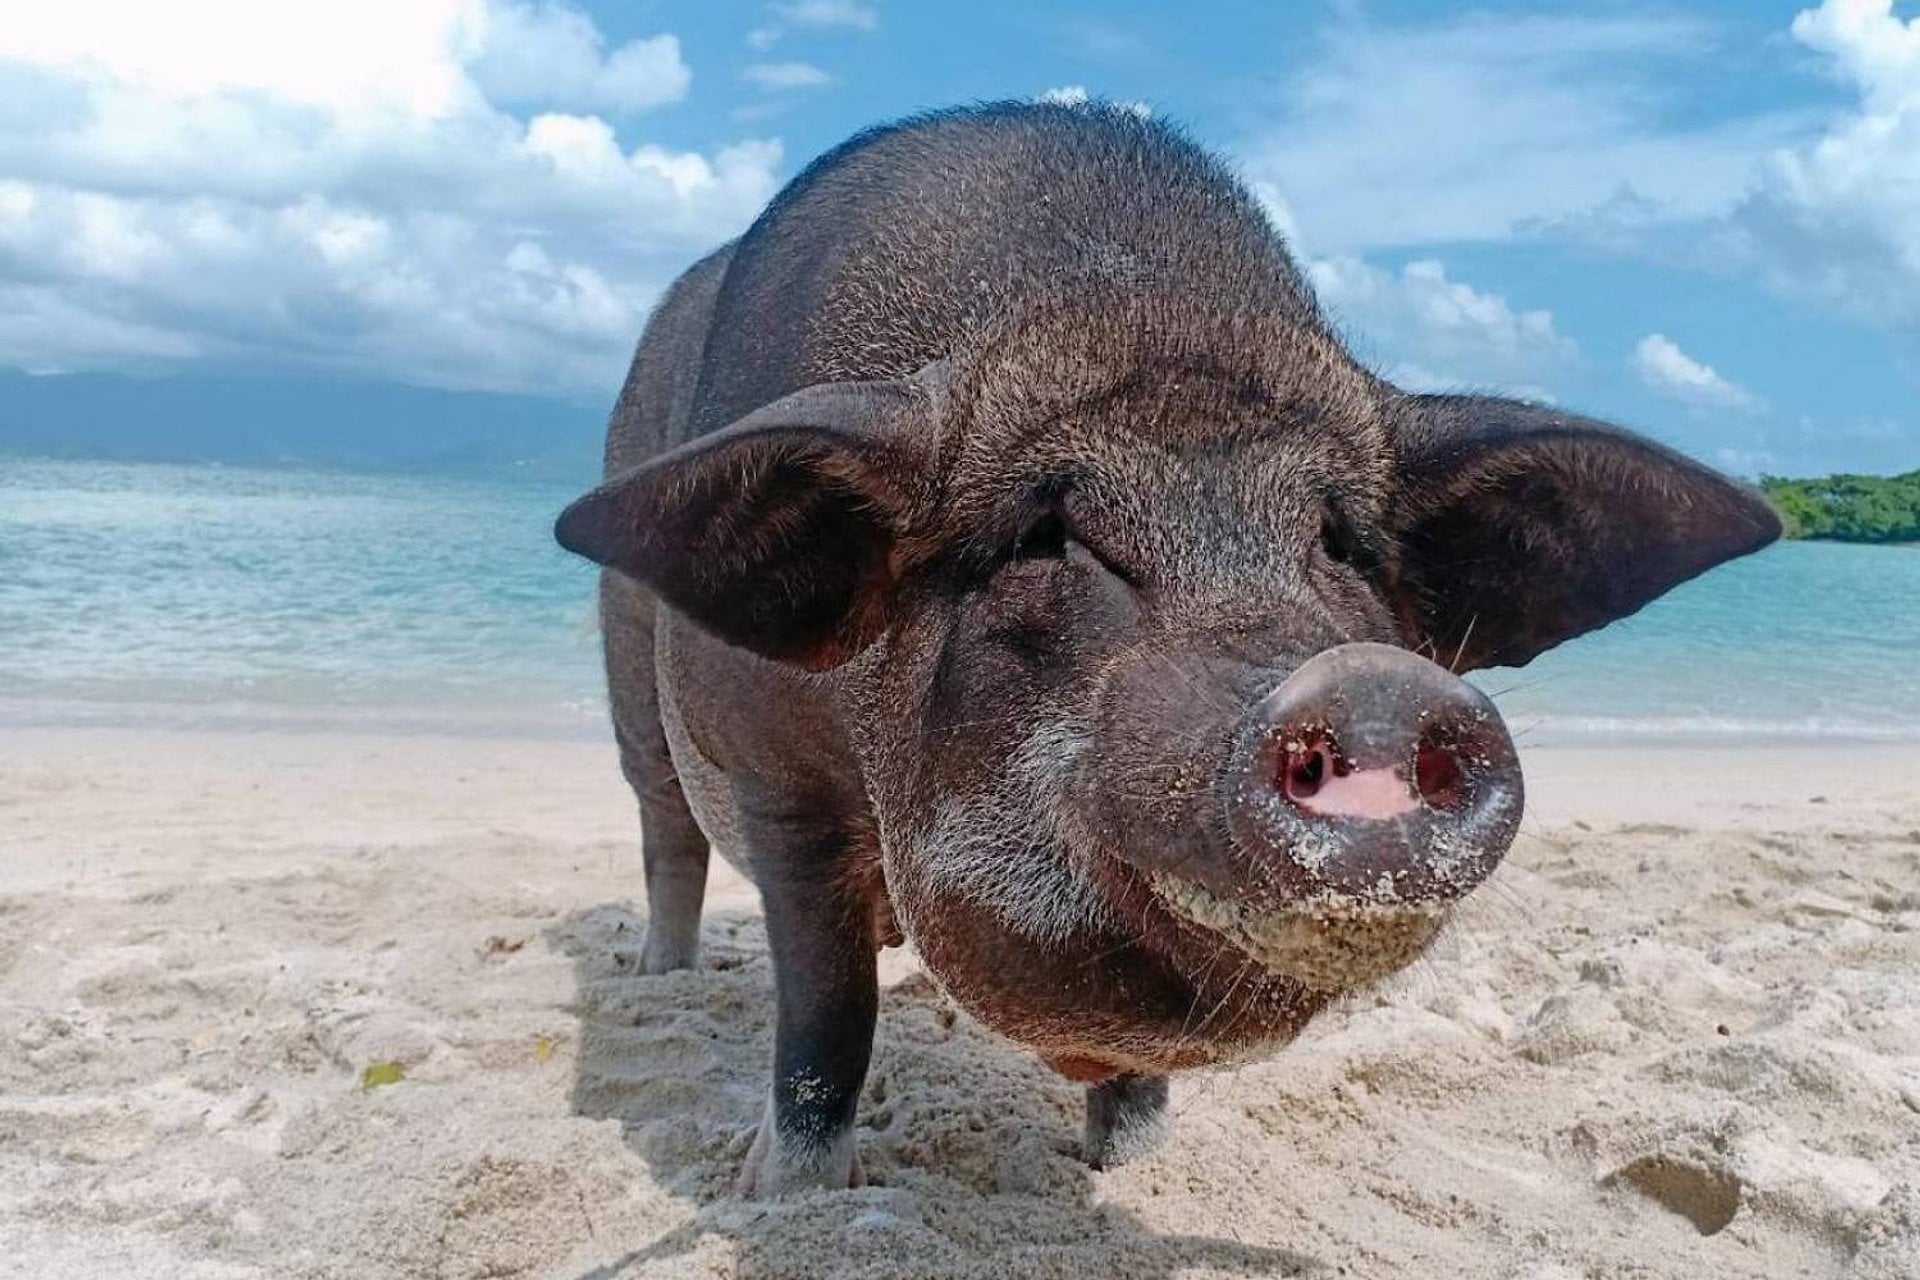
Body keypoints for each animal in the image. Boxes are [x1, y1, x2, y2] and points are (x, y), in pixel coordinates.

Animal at [554, 101, 1779, 1195]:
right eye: (1046, 535)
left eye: (1341, 540)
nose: (1370, 683)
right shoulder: (778, 780)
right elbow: (825, 1015)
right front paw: (787, 1195)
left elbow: (1132, 1083)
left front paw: (1133, 1169)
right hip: (630, 683)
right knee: (666, 834)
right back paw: (659, 979)